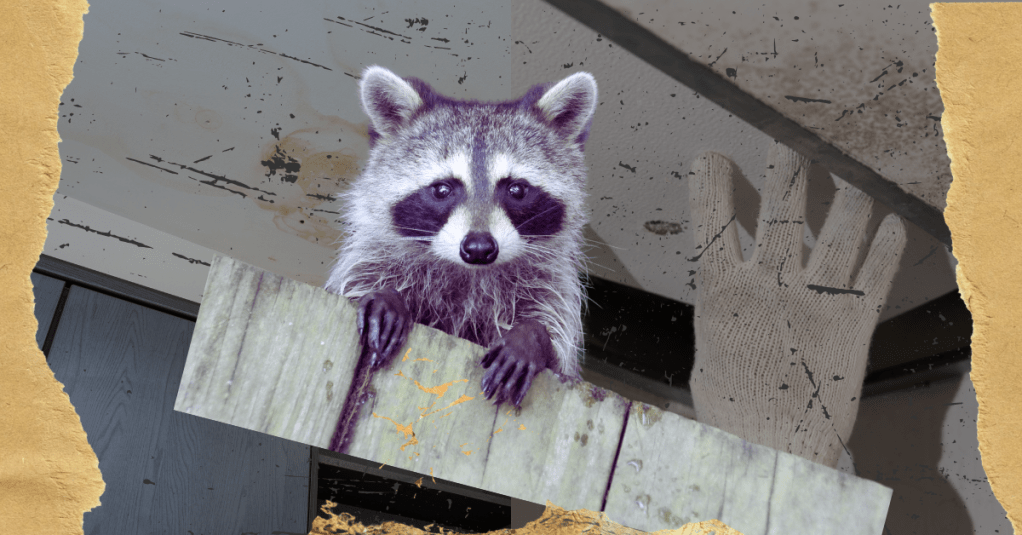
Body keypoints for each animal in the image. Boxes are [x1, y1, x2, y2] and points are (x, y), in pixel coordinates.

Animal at [325, 65, 597, 407]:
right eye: (443, 189)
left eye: (517, 190)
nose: (479, 248)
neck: (470, 274)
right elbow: (358, 280)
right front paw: (386, 294)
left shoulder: (548, 280)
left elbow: (559, 348)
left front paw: (533, 335)